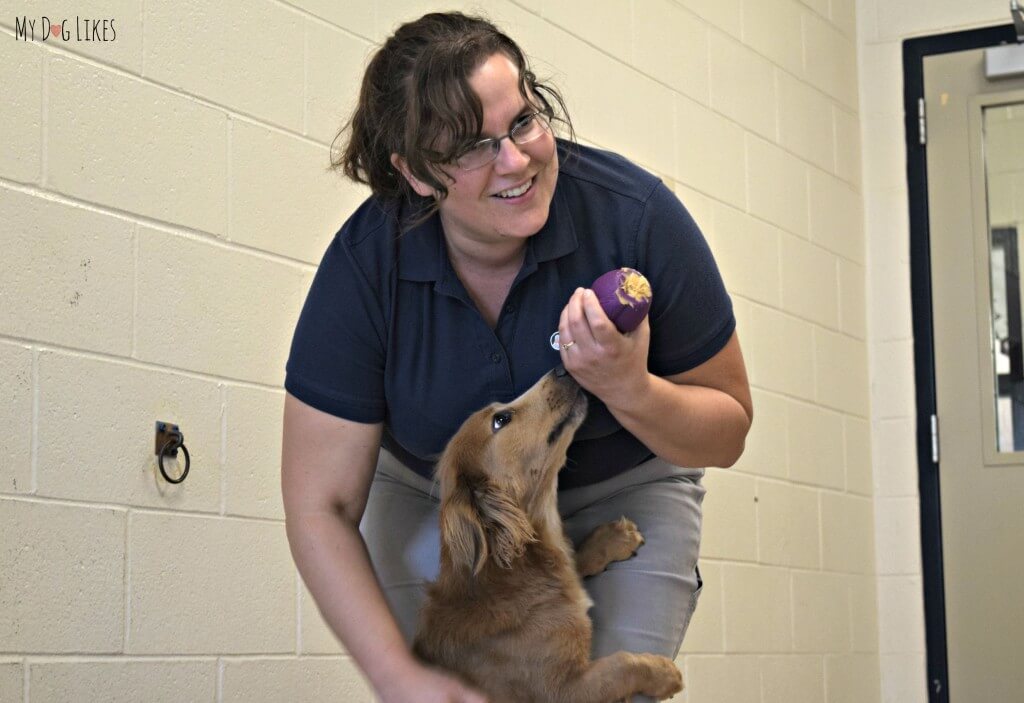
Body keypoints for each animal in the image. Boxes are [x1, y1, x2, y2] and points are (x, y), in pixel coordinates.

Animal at [411, 368, 684, 703]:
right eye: (501, 419)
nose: (562, 369)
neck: (516, 568)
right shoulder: (562, 690)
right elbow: (623, 663)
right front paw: (663, 673)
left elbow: (574, 557)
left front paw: (615, 538)